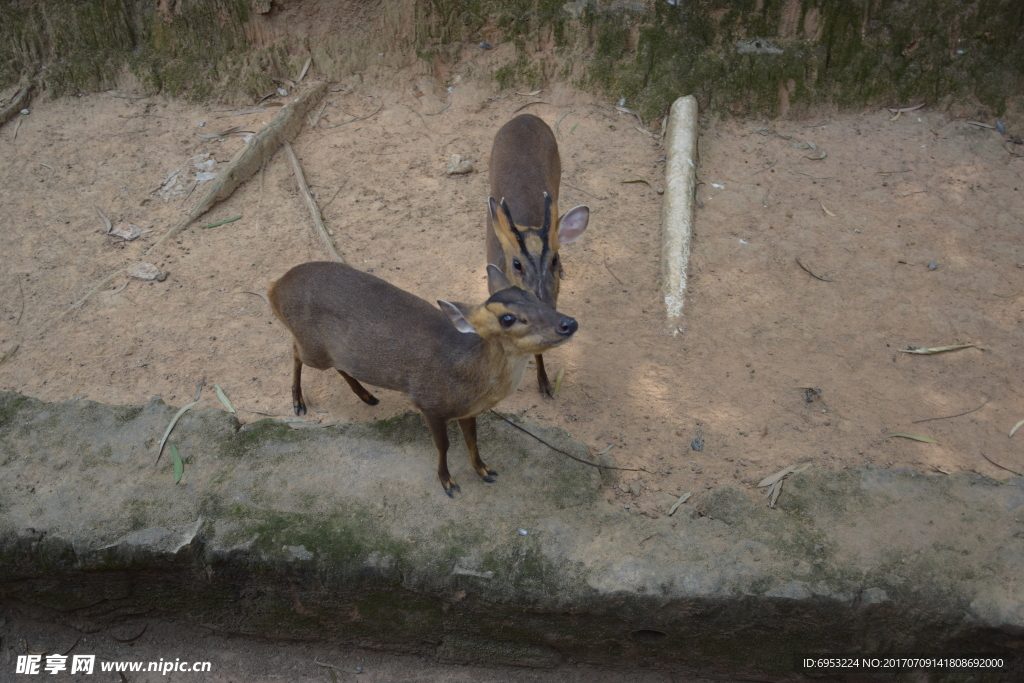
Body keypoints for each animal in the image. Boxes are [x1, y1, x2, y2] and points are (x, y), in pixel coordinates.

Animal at [268, 262, 581, 497]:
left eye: (535, 296)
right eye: (507, 318)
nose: (568, 323)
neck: (470, 379)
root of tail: (275, 287)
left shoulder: (467, 411)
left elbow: (472, 440)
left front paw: (484, 470)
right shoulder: (429, 403)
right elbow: (444, 445)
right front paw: (448, 482)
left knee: (337, 364)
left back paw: (367, 395)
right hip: (313, 350)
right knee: (294, 350)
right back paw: (298, 402)